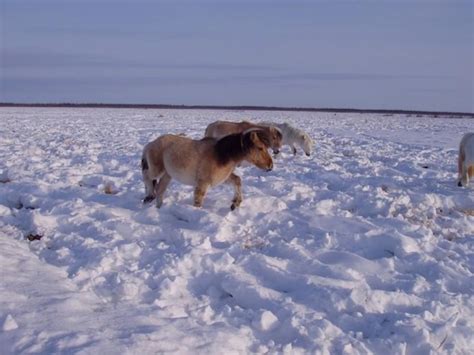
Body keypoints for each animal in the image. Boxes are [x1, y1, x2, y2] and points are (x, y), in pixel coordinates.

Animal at [142, 130, 274, 209]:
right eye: (260, 148)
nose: (270, 166)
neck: (220, 155)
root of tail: (150, 144)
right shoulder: (203, 183)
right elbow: (198, 200)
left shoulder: (222, 178)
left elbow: (237, 180)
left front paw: (235, 203)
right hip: (157, 170)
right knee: (147, 176)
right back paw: (149, 195)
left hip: (167, 175)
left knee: (160, 190)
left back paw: (159, 207)